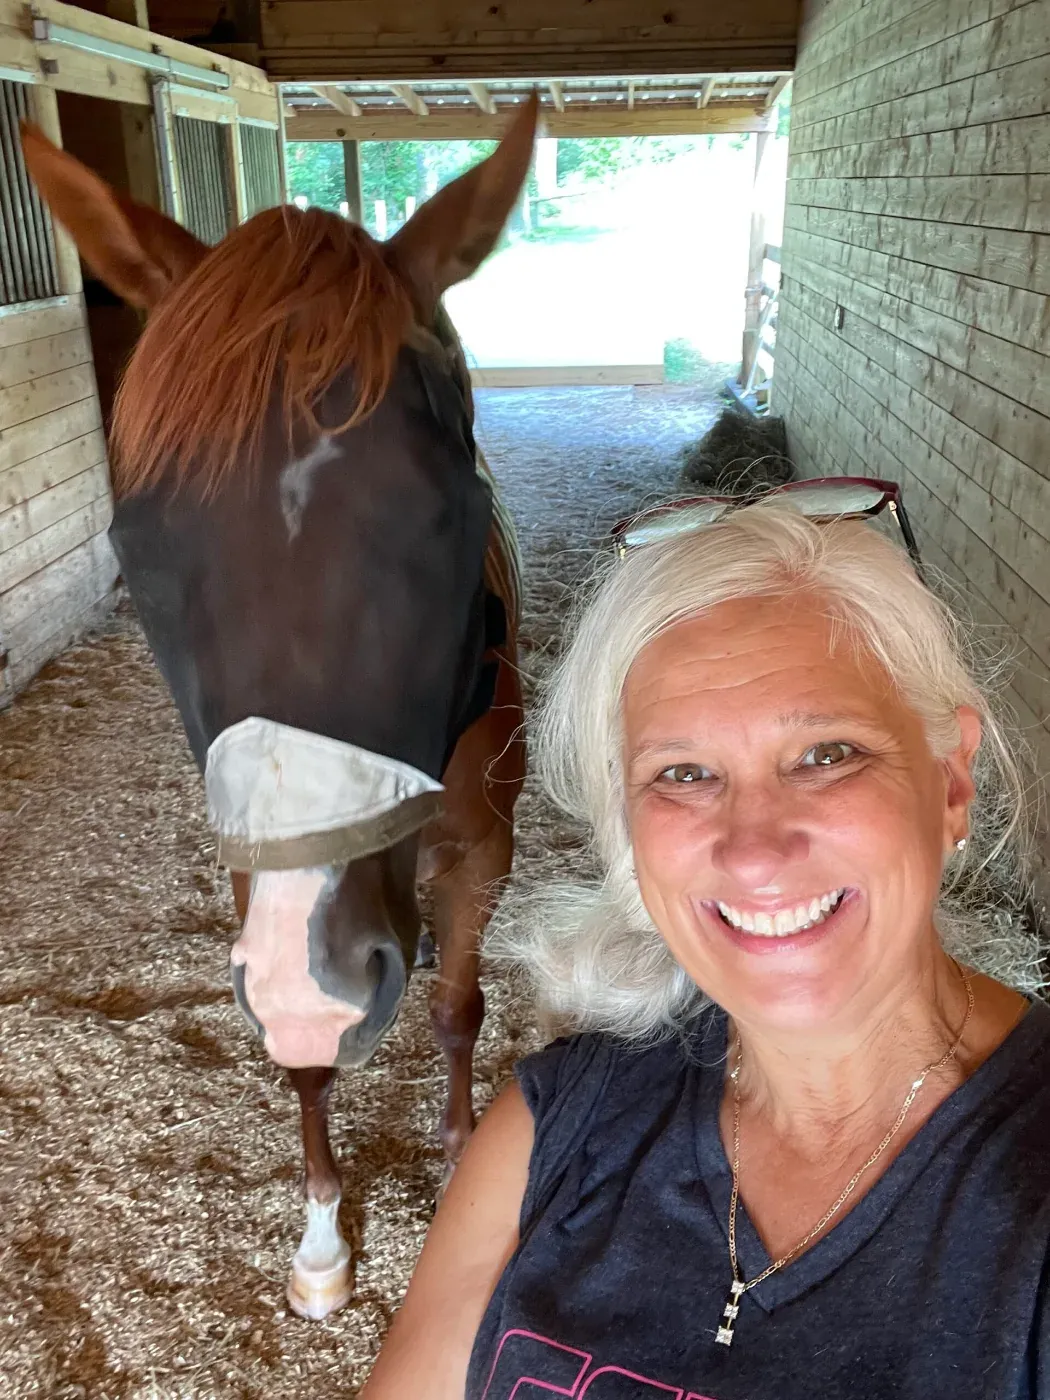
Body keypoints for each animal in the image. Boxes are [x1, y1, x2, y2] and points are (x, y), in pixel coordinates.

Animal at [21, 96, 535, 1320]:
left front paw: (457, 1165)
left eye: (446, 518)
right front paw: (320, 1242)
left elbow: (458, 1010)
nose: (321, 977)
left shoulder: (483, 853)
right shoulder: (257, 878)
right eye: (142, 548)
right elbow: (301, 1051)